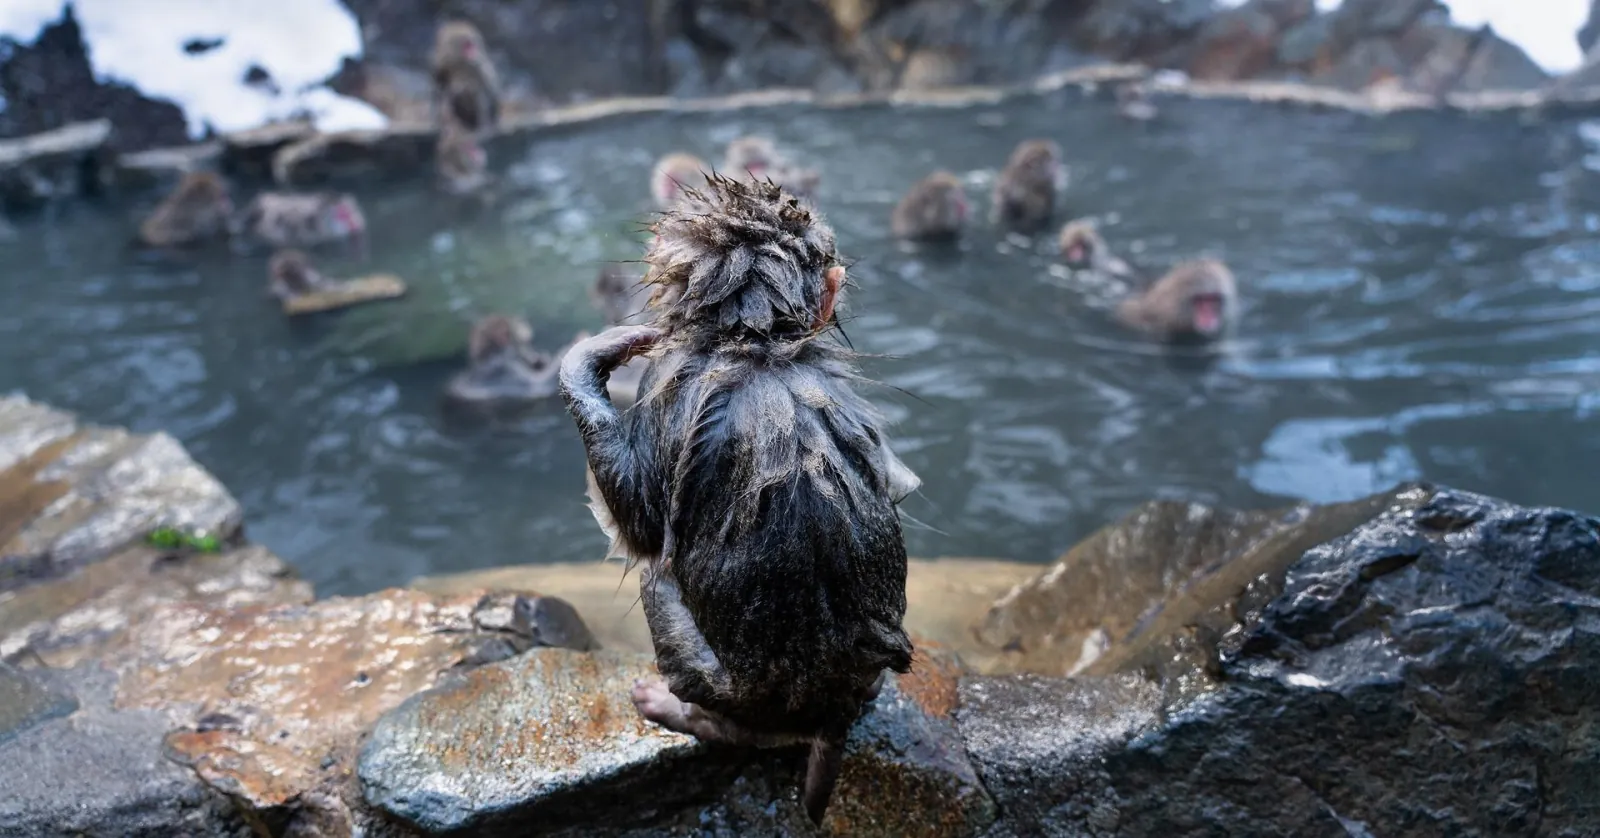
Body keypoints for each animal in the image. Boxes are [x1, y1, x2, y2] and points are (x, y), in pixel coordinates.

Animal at [558, 175, 921, 826]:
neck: (756, 347)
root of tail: (828, 713)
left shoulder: (664, 385)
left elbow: (637, 519)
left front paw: (591, 359)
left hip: (710, 673)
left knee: (656, 581)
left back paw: (684, 713)